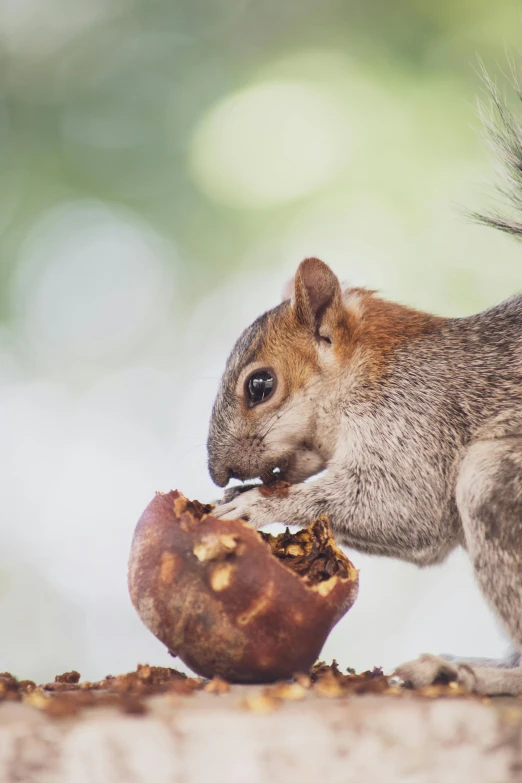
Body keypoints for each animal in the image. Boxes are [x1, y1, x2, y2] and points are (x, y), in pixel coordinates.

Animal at [206, 79, 520, 696]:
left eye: (260, 385)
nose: (217, 472)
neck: (370, 370)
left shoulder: (418, 417)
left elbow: (405, 506)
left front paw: (254, 504)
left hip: (494, 481)